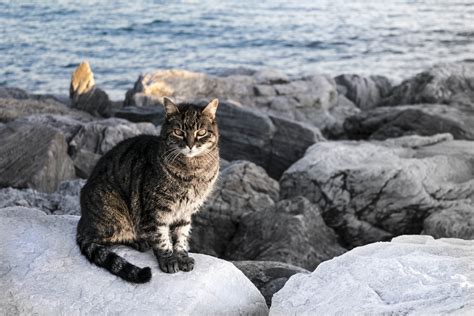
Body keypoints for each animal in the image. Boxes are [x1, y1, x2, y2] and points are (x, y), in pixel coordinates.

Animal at [76, 97, 220, 282]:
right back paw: (138, 241)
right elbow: (162, 238)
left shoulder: (186, 211)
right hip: (115, 213)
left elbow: (182, 235)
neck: (194, 169)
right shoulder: (157, 209)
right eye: (178, 132)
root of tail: (83, 221)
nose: (190, 145)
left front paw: (182, 257)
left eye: (201, 132)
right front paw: (169, 260)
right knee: (103, 238)